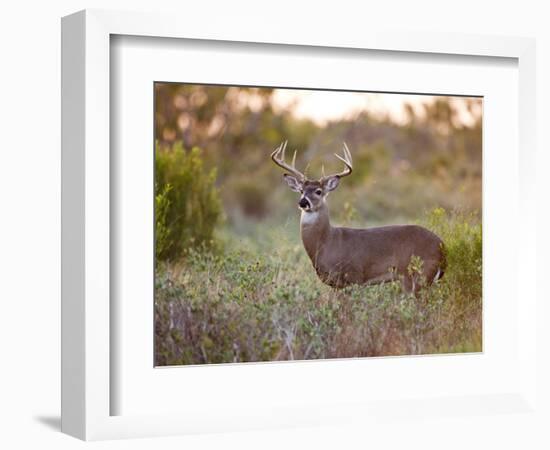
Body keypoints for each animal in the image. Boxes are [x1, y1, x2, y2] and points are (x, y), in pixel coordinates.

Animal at [272, 142, 448, 294]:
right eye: (301, 191)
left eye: (318, 191)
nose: (303, 202)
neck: (326, 241)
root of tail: (442, 247)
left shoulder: (353, 277)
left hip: (415, 275)